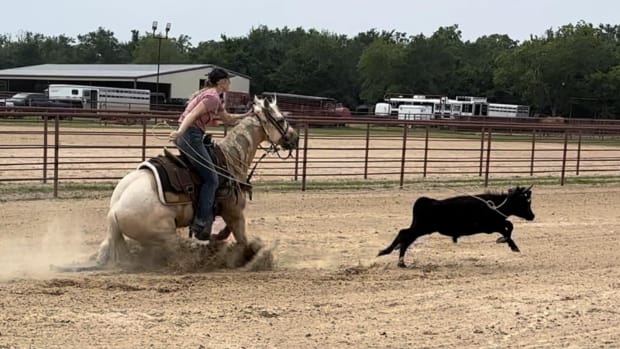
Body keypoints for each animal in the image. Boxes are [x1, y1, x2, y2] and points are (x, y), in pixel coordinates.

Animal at [97, 96, 298, 266]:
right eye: (281, 119)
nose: (295, 138)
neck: (230, 160)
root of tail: (115, 211)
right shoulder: (235, 213)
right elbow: (243, 241)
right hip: (165, 234)